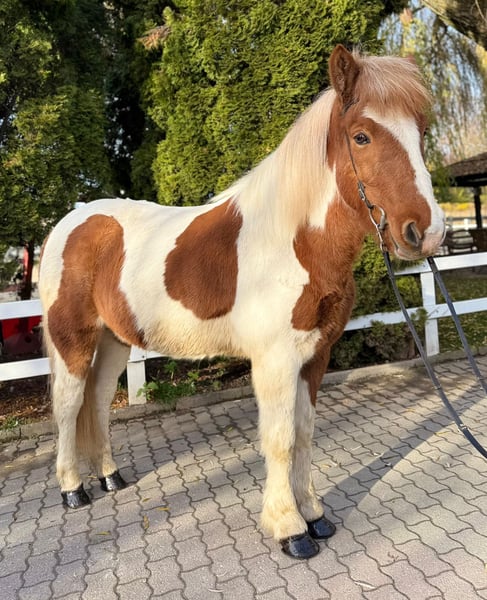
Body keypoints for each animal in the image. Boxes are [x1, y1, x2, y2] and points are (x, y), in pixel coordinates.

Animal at [38, 45, 445, 559]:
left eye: (422, 132)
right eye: (362, 136)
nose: (426, 232)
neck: (293, 242)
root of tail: (70, 223)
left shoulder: (316, 356)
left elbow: (305, 433)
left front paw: (315, 516)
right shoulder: (275, 360)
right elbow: (280, 439)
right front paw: (290, 529)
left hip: (113, 342)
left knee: (96, 401)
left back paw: (110, 477)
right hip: (72, 339)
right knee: (68, 406)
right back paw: (73, 489)